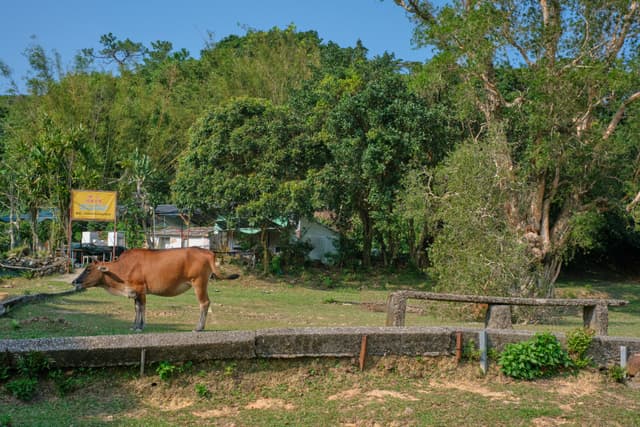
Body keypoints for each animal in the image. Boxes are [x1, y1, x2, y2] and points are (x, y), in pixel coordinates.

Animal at [72, 247, 239, 332]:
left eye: (88, 269)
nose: (75, 281)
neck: (123, 268)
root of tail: (208, 252)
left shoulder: (140, 289)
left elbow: (141, 308)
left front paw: (140, 326)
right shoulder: (135, 292)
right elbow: (137, 308)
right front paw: (134, 325)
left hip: (199, 282)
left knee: (204, 303)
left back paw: (199, 328)